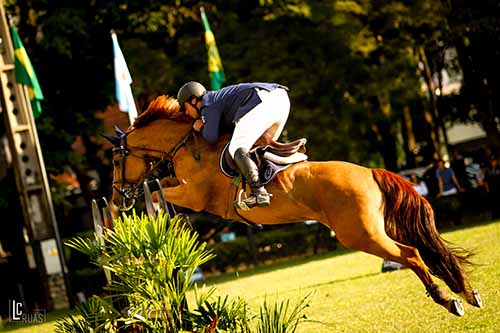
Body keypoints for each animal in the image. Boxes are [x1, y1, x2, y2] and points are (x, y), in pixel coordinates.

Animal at [107, 94, 482, 316]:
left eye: (115, 160)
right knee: (423, 252)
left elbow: (160, 191)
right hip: (376, 228)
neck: (185, 143)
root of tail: (370, 172)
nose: (116, 196)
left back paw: (449, 301)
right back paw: (466, 293)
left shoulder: (195, 195)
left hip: (361, 235)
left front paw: (138, 213)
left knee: (411, 255)